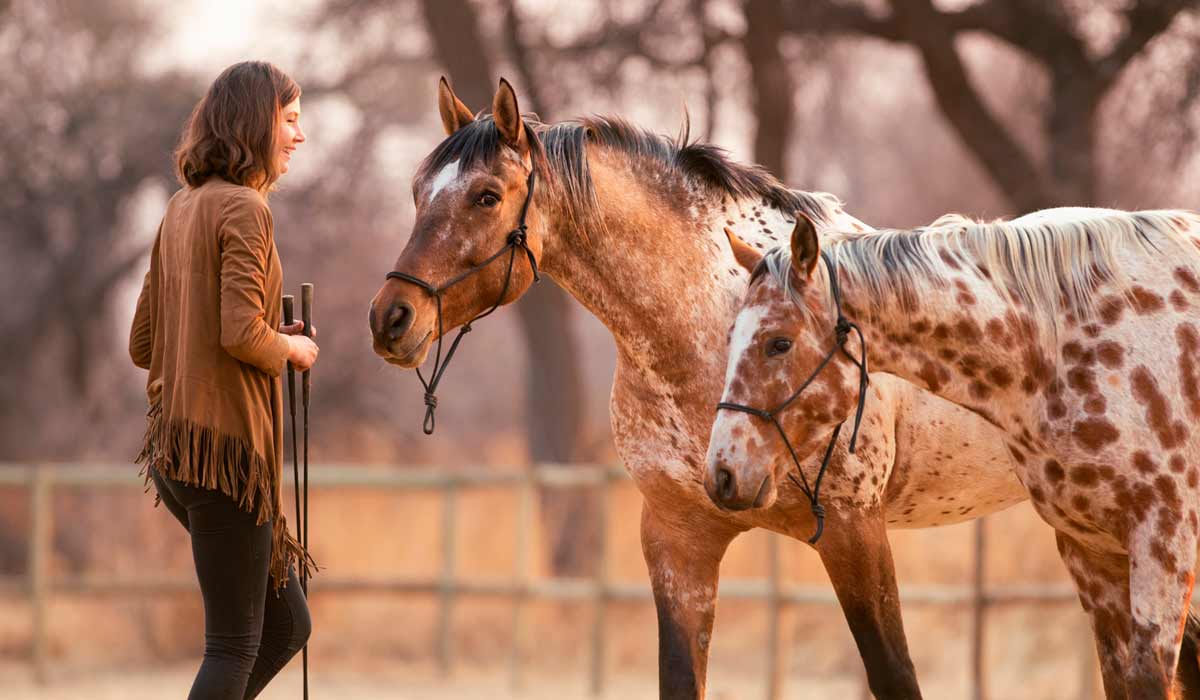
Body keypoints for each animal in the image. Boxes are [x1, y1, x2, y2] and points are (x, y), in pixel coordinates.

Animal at [367, 78, 1032, 700]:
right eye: (418, 193)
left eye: (486, 195)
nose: (390, 318)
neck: (715, 327)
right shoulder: (678, 542)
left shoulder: (855, 531)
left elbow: (894, 675)